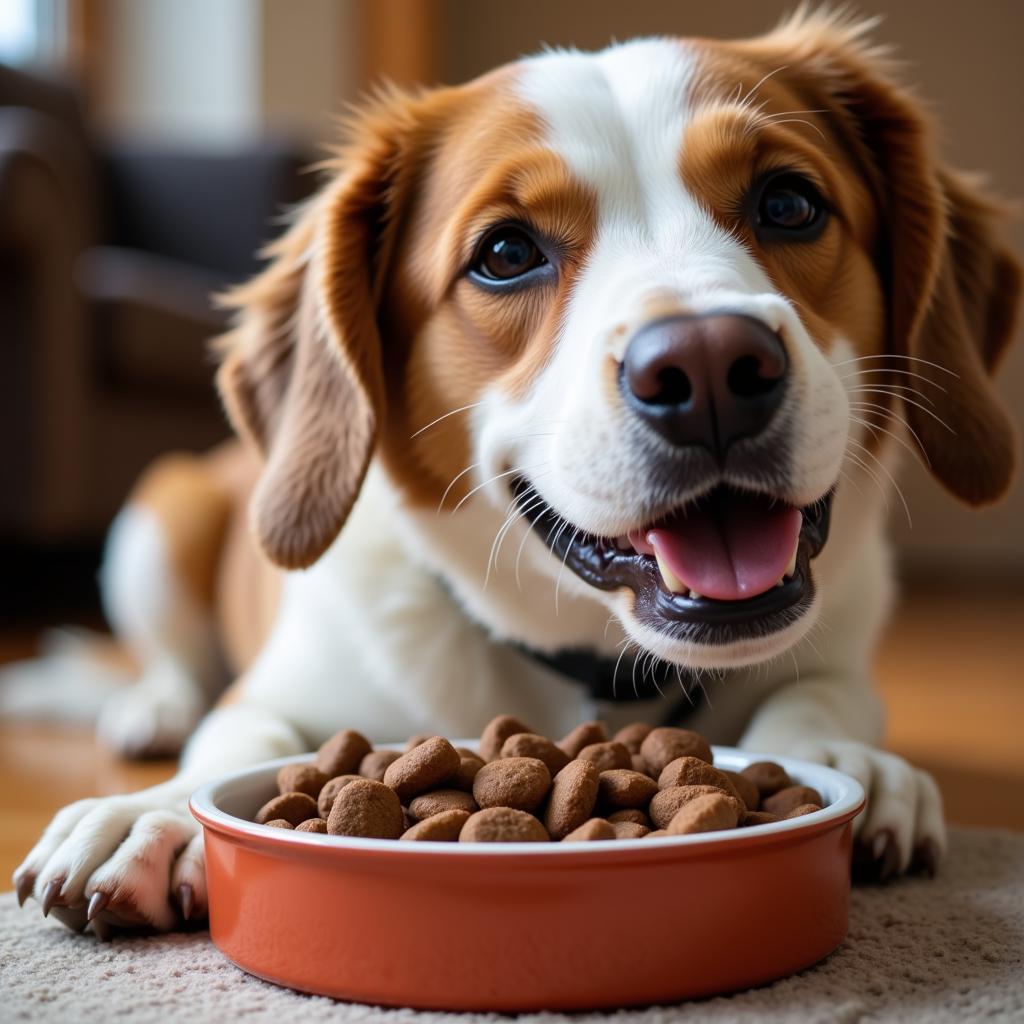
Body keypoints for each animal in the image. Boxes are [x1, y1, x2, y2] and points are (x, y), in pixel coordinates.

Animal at [12, 9, 1019, 937]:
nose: (707, 369)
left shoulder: (840, 647)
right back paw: (152, 708)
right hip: (157, 516)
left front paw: (846, 764)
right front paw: (152, 817)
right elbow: (235, 738)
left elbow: (817, 701)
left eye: (789, 204)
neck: (597, 669)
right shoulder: (279, 689)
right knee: (178, 666)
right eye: (504, 254)